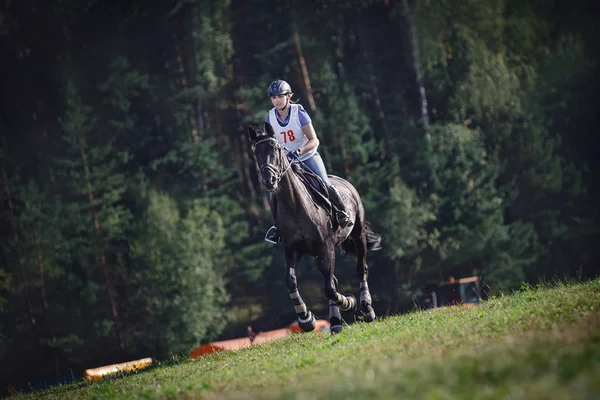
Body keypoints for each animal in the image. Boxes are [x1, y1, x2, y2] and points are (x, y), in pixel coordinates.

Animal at [250, 122, 384, 334]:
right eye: (256, 153)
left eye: (276, 149)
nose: (269, 180)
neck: (295, 205)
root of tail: (345, 182)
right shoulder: (292, 250)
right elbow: (292, 282)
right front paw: (306, 319)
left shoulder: (326, 247)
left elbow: (329, 288)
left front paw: (350, 303)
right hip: (316, 254)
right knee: (333, 280)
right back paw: (336, 322)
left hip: (358, 235)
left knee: (361, 268)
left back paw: (366, 309)